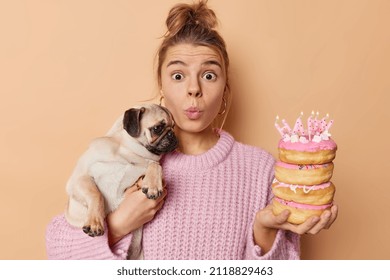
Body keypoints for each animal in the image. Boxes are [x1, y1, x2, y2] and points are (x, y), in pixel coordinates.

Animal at [64, 104, 177, 260]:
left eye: (174, 126)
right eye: (157, 128)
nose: (173, 134)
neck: (129, 153)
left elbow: (155, 165)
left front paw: (152, 184)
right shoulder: (80, 179)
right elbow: (96, 195)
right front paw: (95, 222)